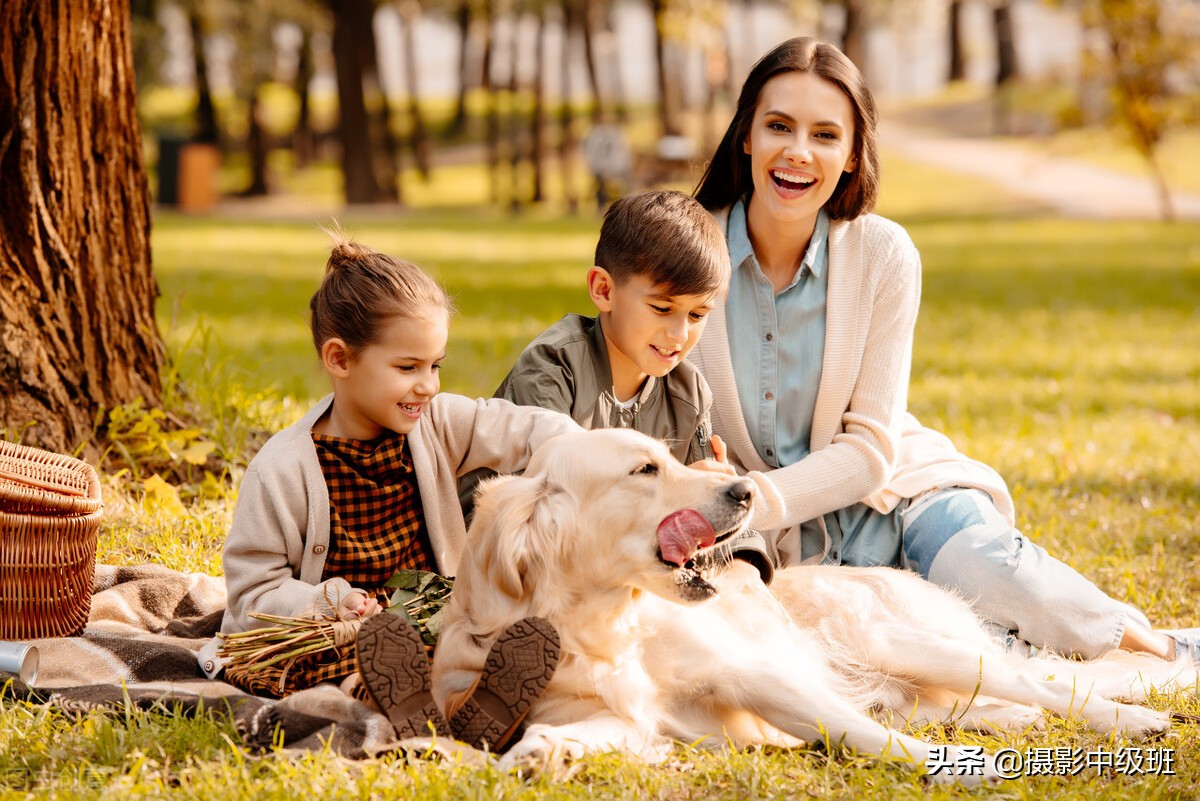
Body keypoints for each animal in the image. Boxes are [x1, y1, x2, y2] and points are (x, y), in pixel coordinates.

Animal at [434, 429, 1200, 786]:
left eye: (667, 458)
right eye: (645, 469)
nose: (744, 490)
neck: (604, 626)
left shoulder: (754, 674)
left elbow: (862, 734)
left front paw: (961, 768)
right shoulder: (623, 719)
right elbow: (561, 732)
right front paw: (536, 756)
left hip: (906, 641)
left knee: (1043, 682)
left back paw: (1129, 717)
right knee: (978, 701)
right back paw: (1011, 722)